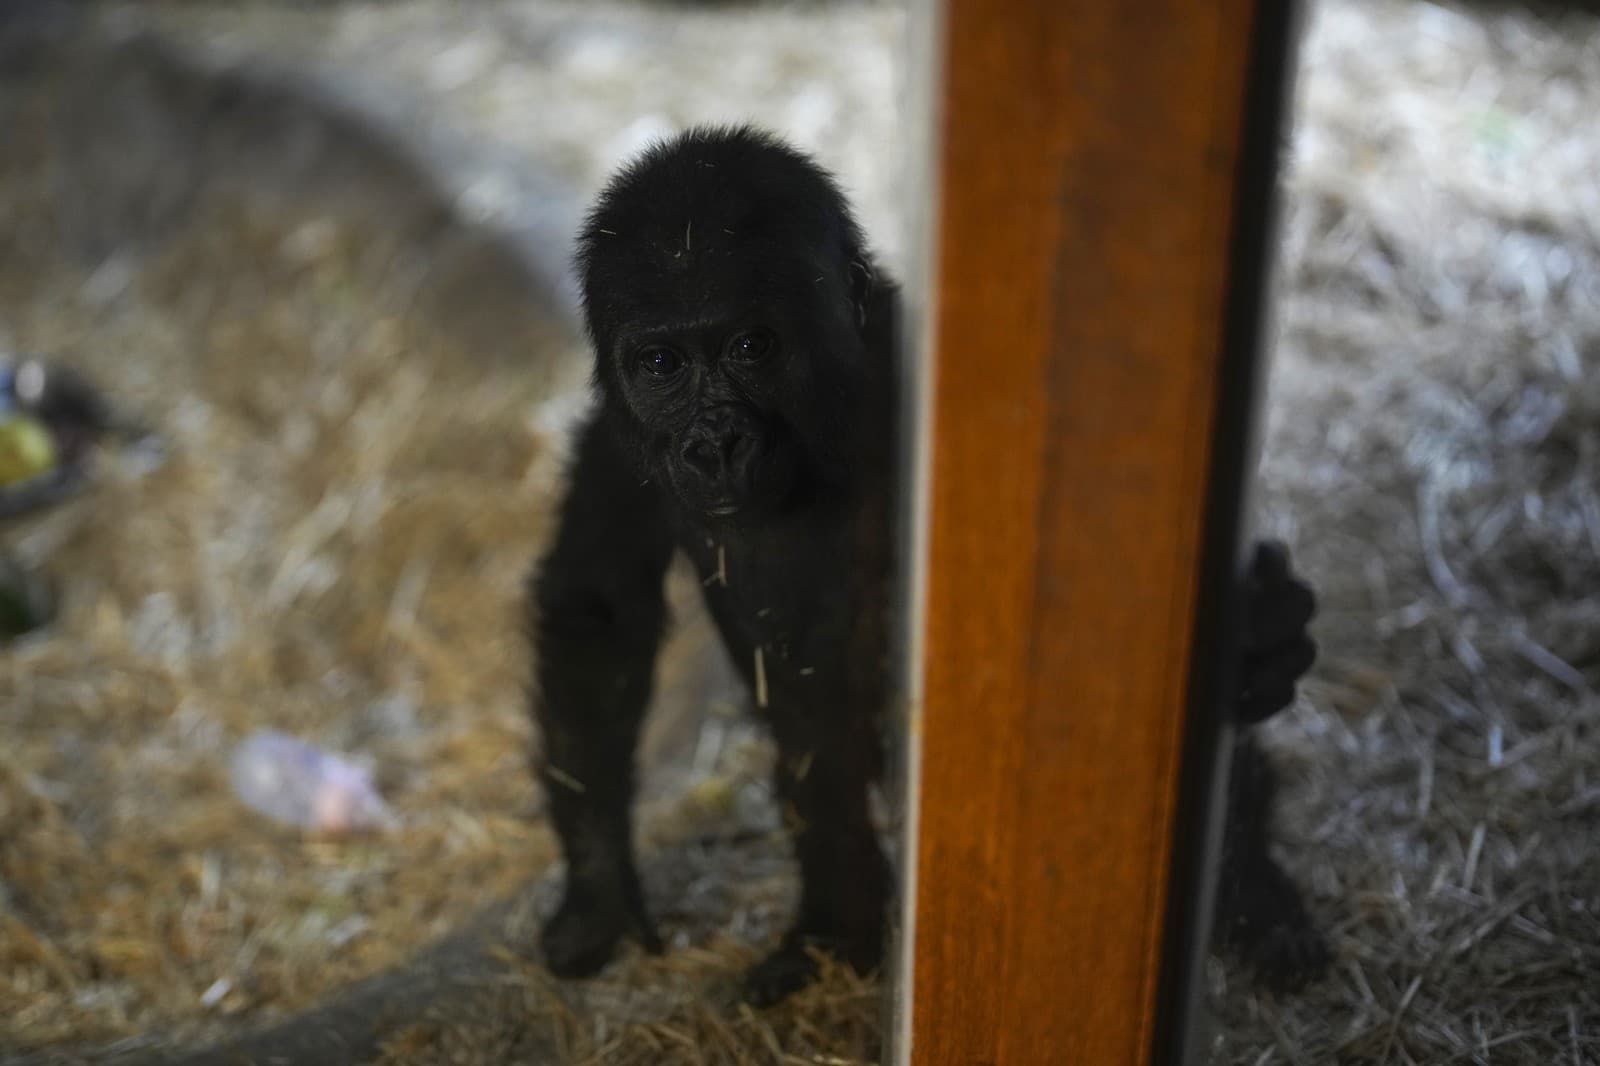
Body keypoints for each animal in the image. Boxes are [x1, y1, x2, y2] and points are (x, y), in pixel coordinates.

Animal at [531, 126, 1331, 1005]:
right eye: (662, 365)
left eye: (751, 347)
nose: (715, 444)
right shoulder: (617, 443)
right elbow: (599, 613)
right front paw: (598, 889)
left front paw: (1256, 643)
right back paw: (836, 925)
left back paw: (1252, 887)